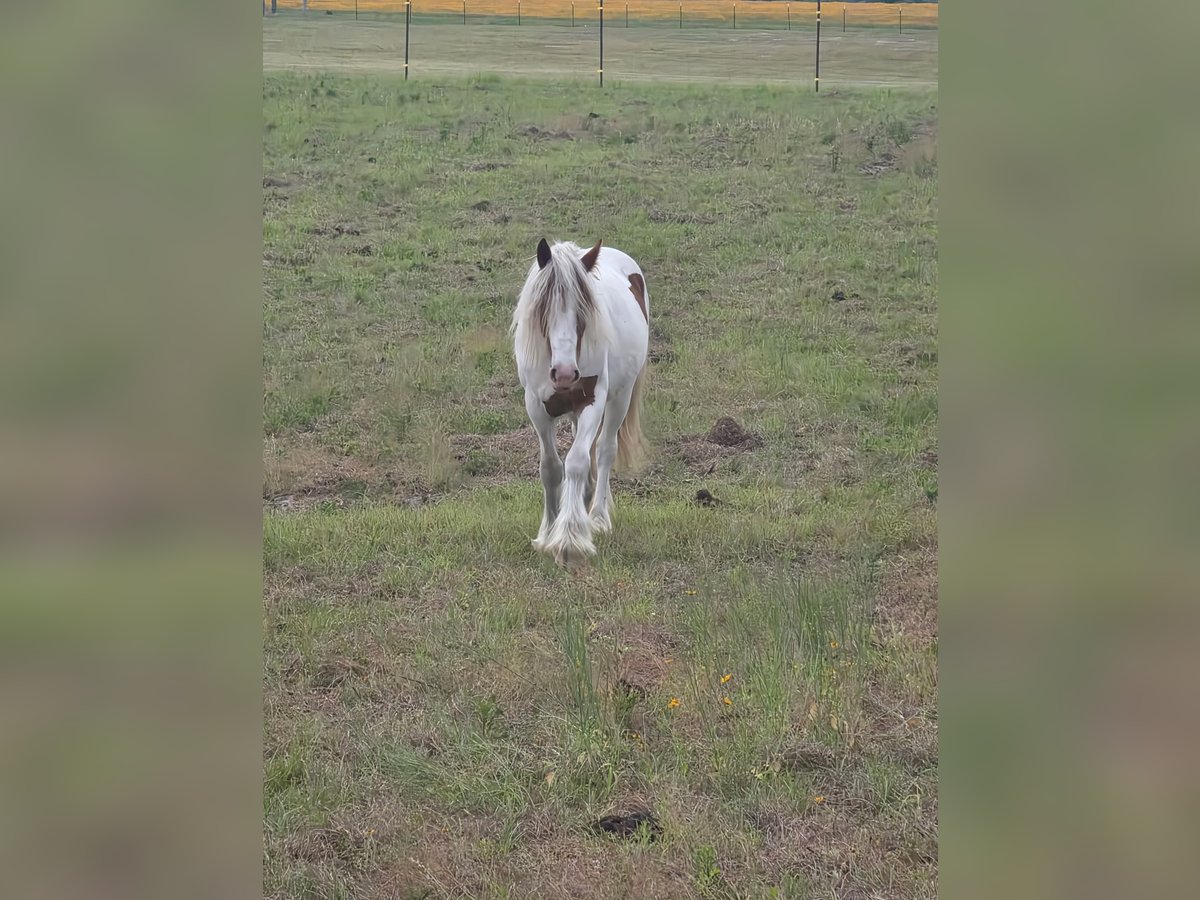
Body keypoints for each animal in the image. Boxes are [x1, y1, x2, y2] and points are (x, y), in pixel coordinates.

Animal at [510, 238, 649, 566]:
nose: (563, 373)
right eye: (543, 308)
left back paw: (597, 517)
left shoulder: (592, 401)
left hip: (620, 398)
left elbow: (576, 461)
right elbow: (550, 467)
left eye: (584, 311)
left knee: (604, 450)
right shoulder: (536, 407)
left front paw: (570, 540)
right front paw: (548, 532)